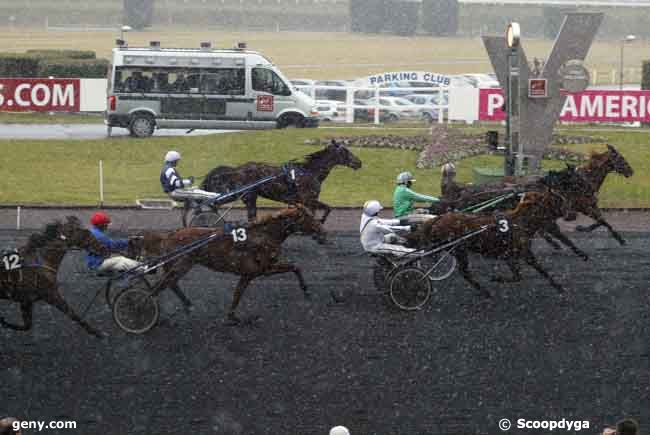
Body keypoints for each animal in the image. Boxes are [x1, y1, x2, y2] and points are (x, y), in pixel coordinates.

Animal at [137, 206, 324, 326]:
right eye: (309, 217)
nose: (322, 230)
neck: (265, 234)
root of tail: (169, 235)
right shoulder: (261, 270)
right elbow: (293, 267)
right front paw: (234, 318)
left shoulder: (250, 274)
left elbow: (238, 293)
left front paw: (232, 317)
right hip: (181, 264)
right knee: (160, 286)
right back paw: (142, 308)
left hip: (179, 265)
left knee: (170, 284)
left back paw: (187, 304)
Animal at [200, 140, 362, 223]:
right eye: (345, 151)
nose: (359, 162)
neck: (310, 171)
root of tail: (237, 169)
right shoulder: (308, 199)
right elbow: (328, 208)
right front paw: (320, 221)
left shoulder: (306, 201)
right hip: (240, 195)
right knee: (214, 203)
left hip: (247, 196)